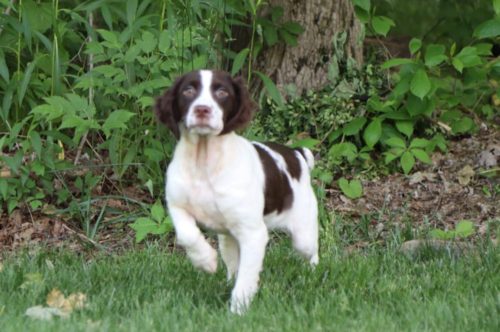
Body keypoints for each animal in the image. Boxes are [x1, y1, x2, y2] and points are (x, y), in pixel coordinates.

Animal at [154, 70, 318, 314]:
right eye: (188, 91)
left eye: (222, 92)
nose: (202, 109)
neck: (204, 162)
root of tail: (296, 153)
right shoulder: (176, 204)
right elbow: (187, 235)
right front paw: (206, 261)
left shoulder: (253, 233)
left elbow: (247, 276)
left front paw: (238, 310)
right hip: (227, 238)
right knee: (233, 264)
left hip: (302, 232)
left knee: (311, 251)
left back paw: (312, 274)